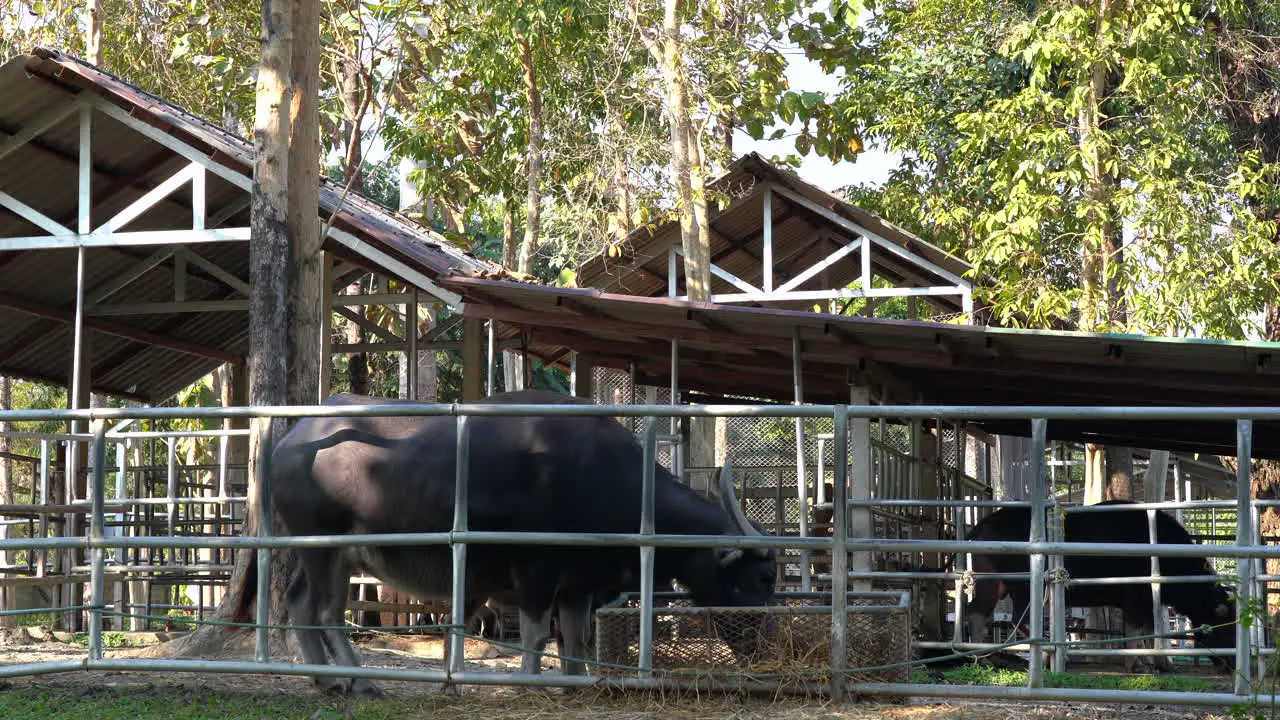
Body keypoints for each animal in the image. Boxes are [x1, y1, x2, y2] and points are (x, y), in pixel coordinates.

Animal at [267, 386, 778, 696]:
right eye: (754, 580)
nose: (764, 645)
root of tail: (293, 439)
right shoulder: (537, 570)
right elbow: (535, 633)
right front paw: (531, 683)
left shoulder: (579, 582)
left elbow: (575, 636)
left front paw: (574, 682)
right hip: (322, 546)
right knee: (326, 611)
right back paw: (357, 682)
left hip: (327, 554)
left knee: (299, 603)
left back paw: (325, 680)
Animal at [962, 499, 1233, 671]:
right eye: (1223, 623)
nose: (1231, 665)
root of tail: (983, 524)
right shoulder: (1138, 596)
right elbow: (1137, 629)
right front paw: (1139, 665)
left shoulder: (1145, 600)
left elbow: (1148, 629)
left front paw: (1155, 663)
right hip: (1025, 585)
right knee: (1020, 618)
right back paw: (1048, 654)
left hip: (990, 581)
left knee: (977, 613)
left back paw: (981, 658)